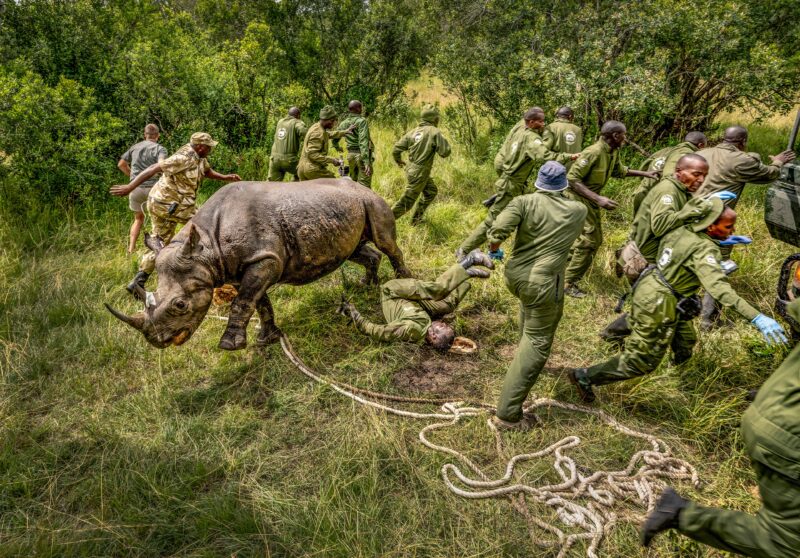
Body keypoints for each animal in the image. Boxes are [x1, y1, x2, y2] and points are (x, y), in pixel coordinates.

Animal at [106, 179, 412, 350]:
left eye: (180, 304)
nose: (158, 341)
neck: (205, 246)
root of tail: (360, 184)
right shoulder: (240, 268)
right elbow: (259, 302)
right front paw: (268, 338)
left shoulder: (264, 259)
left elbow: (242, 302)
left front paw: (229, 346)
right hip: (344, 207)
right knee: (356, 250)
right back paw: (367, 286)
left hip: (370, 200)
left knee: (386, 242)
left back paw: (403, 280)